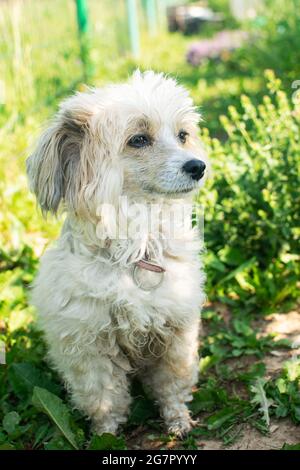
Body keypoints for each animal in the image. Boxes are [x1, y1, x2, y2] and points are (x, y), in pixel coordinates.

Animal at [27, 70, 206, 436]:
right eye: (138, 140)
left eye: (182, 135)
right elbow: (104, 400)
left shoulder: (177, 334)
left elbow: (172, 384)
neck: (137, 249)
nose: (199, 166)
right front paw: (105, 436)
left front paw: (178, 421)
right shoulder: (89, 348)